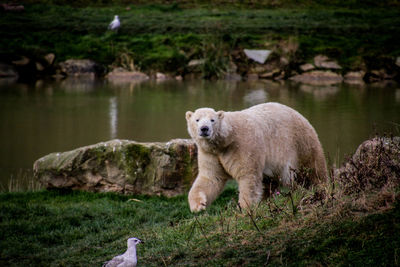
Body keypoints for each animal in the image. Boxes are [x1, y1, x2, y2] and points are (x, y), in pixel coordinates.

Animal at [186, 103, 326, 214]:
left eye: (212, 120)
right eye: (197, 119)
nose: (204, 129)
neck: (225, 140)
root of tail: (302, 116)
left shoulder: (243, 146)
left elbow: (248, 176)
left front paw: (244, 208)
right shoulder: (210, 153)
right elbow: (211, 178)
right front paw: (198, 206)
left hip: (300, 143)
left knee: (312, 169)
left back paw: (318, 188)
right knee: (270, 182)